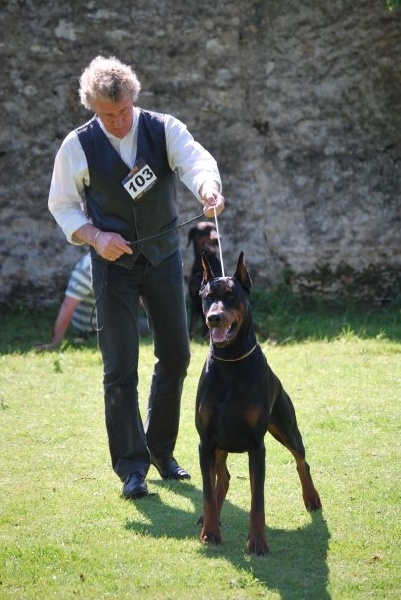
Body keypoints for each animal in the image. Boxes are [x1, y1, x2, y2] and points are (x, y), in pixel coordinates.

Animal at [195, 251, 320, 556]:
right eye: (207, 296)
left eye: (231, 295)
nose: (214, 318)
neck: (230, 362)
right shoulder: (206, 441)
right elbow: (207, 492)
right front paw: (210, 532)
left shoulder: (256, 446)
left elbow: (257, 500)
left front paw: (258, 542)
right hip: (219, 446)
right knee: (223, 477)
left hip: (286, 427)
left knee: (302, 461)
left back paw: (311, 498)